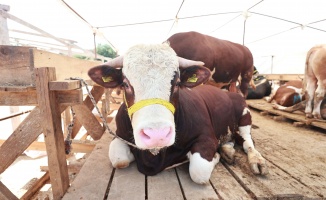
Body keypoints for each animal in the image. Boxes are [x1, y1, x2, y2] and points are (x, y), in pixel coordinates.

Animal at [87, 43, 268, 184]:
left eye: (177, 83)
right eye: (125, 84)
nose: (157, 135)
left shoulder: (207, 136)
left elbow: (199, 171)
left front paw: (216, 155)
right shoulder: (119, 135)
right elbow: (119, 160)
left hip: (245, 115)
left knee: (247, 141)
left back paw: (256, 160)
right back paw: (227, 150)